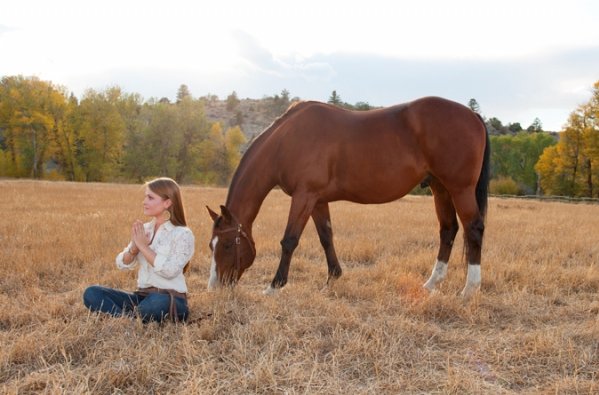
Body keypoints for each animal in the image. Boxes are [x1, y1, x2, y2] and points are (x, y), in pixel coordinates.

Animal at [209, 96, 490, 300]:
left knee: (473, 229)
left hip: (460, 189)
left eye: (227, 245)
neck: (287, 141)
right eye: (211, 245)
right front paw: (333, 277)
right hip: (440, 188)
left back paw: (469, 290)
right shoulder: (317, 200)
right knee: (448, 230)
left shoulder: (304, 196)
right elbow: (326, 237)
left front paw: (274, 286)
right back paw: (431, 284)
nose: (215, 287)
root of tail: (472, 115)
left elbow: (289, 240)